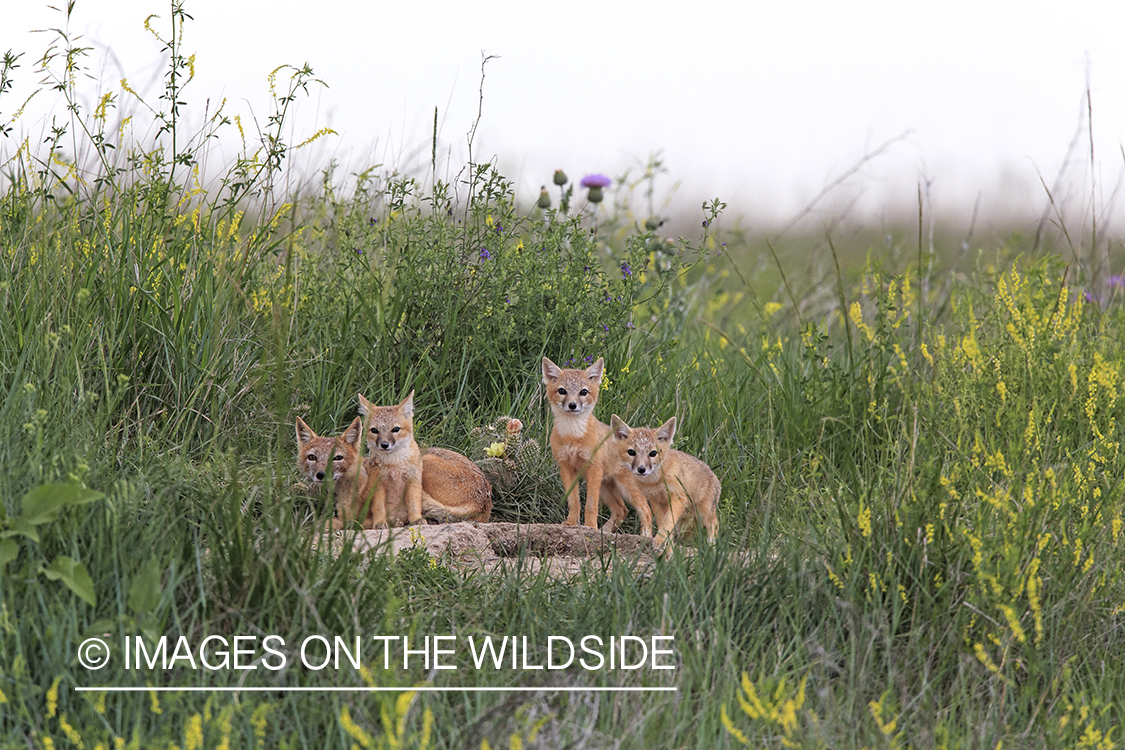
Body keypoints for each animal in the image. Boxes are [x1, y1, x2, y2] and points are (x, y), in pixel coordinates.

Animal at [357, 391, 493, 528]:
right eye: (375, 430)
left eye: (395, 429)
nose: (384, 444)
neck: (394, 464)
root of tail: (484, 503)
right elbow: (378, 506)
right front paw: (381, 521)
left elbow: (413, 504)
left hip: (426, 460)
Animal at [541, 356, 653, 536]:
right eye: (562, 391)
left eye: (583, 392)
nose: (572, 405)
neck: (573, 436)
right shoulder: (566, 468)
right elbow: (574, 501)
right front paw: (571, 523)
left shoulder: (593, 469)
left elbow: (590, 505)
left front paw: (590, 527)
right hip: (605, 489)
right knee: (621, 510)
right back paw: (604, 531)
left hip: (623, 488)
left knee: (645, 509)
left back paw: (646, 537)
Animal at [609, 414, 720, 549]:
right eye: (631, 452)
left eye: (653, 453)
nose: (641, 469)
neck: (655, 481)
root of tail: (713, 474)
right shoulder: (656, 501)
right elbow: (663, 522)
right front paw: (666, 541)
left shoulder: (678, 498)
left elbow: (667, 520)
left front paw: (660, 540)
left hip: (704, 512)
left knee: (715, 525)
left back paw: (711, 546)